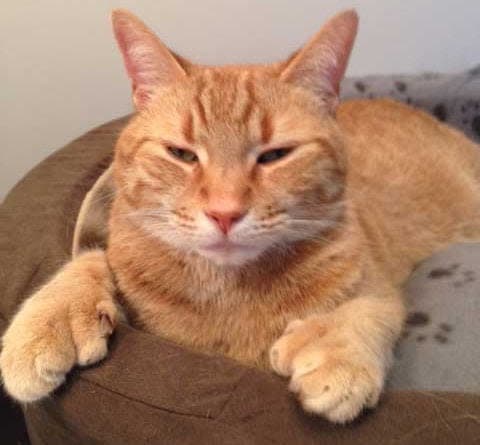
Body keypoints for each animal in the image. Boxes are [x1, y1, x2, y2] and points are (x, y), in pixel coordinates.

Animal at [0, 8, 480, 422]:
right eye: (181, 154)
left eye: (275, 155)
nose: (224, 212)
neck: (227, 292)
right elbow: (91, 258)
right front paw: (50, 317)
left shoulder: (379, 282)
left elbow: (376, 308)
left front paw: (337, 352)